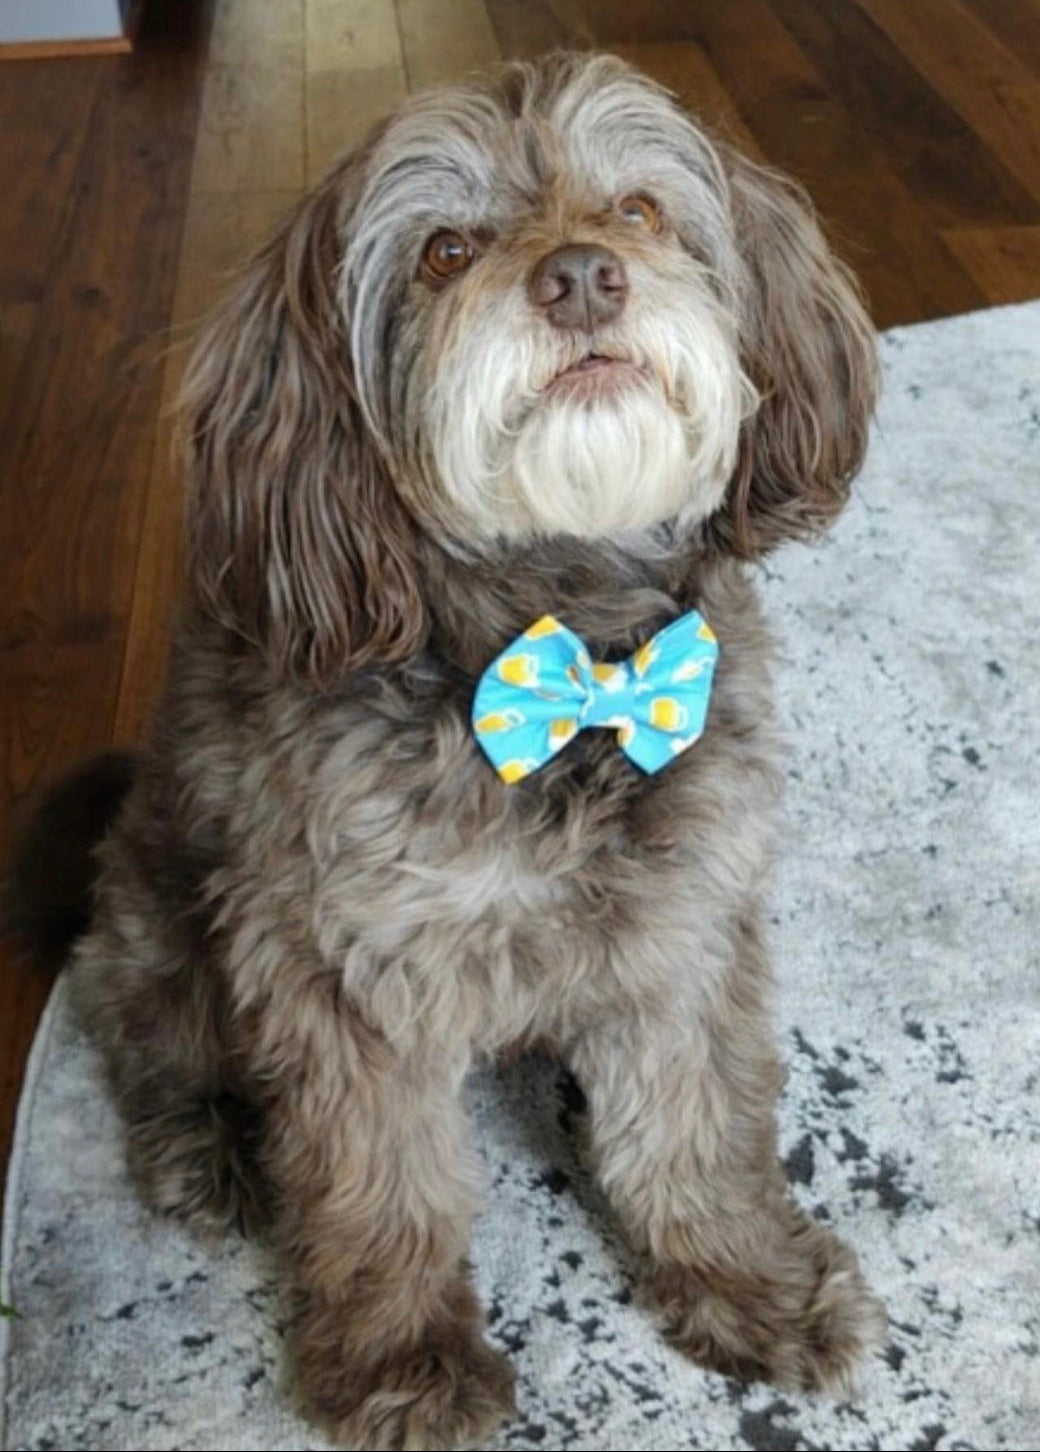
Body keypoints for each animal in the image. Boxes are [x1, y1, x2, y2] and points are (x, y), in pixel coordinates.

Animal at [36, 53, 883, 1452]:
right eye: (444, 251)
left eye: (638, 212)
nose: (582, 276)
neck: (573, 667)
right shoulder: (337, 970)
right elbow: (381, 1184)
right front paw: (403, 1362)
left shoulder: (685, 919)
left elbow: (694, 1120)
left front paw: (745, 1278)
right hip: (163, 922)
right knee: (150, 1037)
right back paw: (207, 1147)